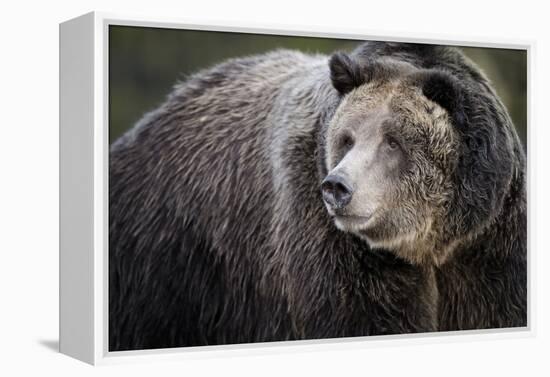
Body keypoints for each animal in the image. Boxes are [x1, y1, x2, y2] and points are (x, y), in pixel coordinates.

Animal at [108, 41, 528, 350]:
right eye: (347, 138)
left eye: (393, 140)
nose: (337, 187)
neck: (428, 243)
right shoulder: (331, 240)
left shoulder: (489, 242)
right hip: (169, 258)